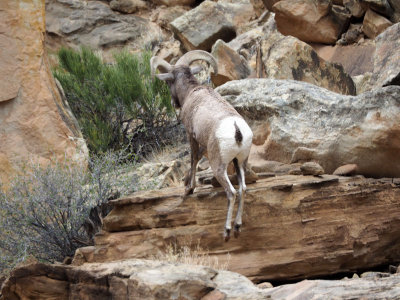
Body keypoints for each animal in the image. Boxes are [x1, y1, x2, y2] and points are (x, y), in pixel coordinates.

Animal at [150, 49, 253, 241]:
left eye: (168, 81)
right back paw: (237, 227)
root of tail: (236, 129)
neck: (193, 92)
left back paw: (227, 231)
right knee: (242, 188)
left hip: (218, 167)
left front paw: (189, 189)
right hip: (240, 162)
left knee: (232, 192)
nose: (174, 102)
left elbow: (193, 160)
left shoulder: (191, 136)